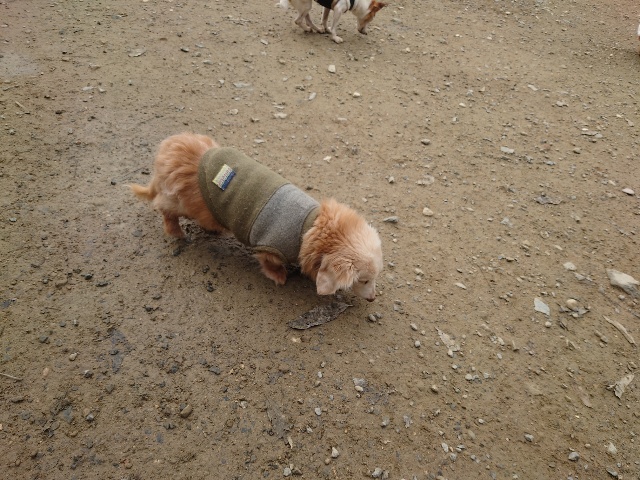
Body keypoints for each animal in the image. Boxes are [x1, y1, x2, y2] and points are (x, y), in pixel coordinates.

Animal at [129, 133, 383, 301]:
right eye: (363, 280)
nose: (372, 298)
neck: (312, 226)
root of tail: (168, 148)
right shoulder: (269, 248)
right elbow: (269, 263)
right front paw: (279, 276)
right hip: (181, 202)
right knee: (164, 208)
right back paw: (176, 232)